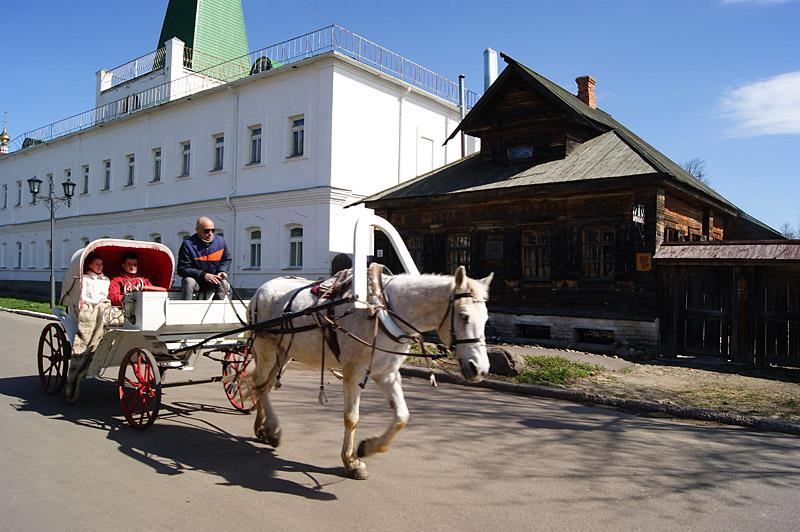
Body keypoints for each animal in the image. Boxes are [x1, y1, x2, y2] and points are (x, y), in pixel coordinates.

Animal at [247, 266, 494, 478]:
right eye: (463, 316)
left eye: (486, 319)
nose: (480, 369)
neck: (383, 310)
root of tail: (259, 290)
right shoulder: (353, 373)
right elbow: (351, 418)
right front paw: (351, 462)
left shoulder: (387, 374)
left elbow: (401, 416)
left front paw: (367, 448)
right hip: (267, 348)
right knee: (259, 385)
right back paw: (273, 429)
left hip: (284, 354)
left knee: (264, 386)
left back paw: (263, 427)